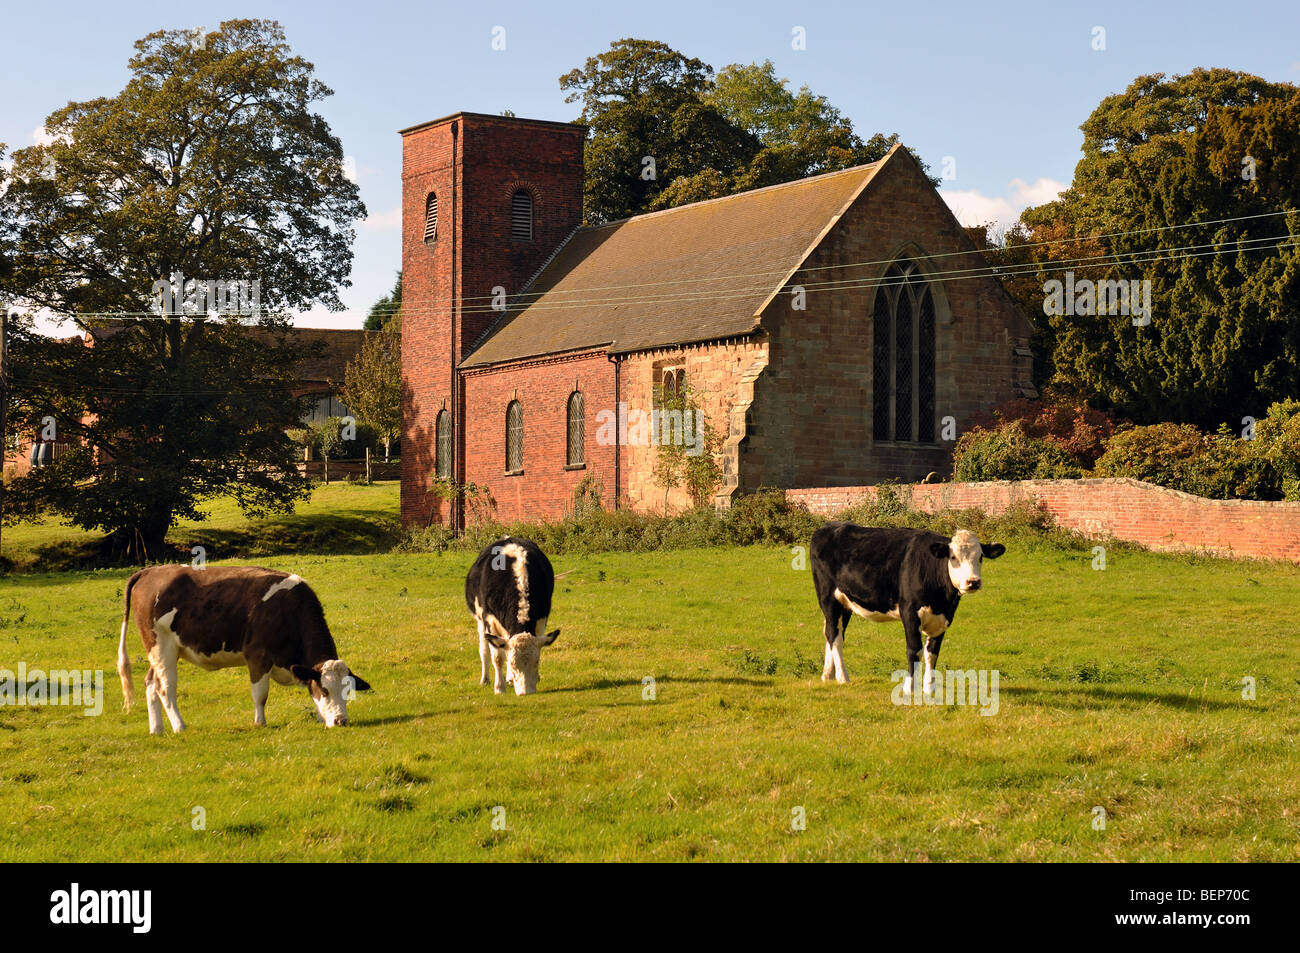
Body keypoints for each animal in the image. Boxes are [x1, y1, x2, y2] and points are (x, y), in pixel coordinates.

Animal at [115, 561, 371, 733]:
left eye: (348, 690)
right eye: (325, 689)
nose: (341, 721)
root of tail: (151, 571)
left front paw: (320, 718)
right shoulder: (258, 656)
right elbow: (260, 694)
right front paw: (260, 723)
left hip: (162, 649)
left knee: (151, 683)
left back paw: (157, 729)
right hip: (161, 645)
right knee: (165, 688)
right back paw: (180, 726)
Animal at [467, 538, 559, 696]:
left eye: (537, 662)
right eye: (513, 663)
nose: (526, 692)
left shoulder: (542, 619)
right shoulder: (489, 620)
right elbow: (498, 657)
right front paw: (499, 688)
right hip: (480, 621)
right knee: (484, 649)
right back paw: (485, 679)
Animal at [811, 525, 1003, 696]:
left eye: (980, 557)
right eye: (953, 557)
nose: (973, 582)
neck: (941, 600)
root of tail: (827, 527)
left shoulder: (943, 618)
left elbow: (932, 652)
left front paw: (929, 689)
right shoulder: (910, 613)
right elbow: (914, 650)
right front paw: (909, 688)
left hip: (845, 603)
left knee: (834, 632)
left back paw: (827, 675)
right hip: (828, 598)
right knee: (834, 635)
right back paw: (842, 677)